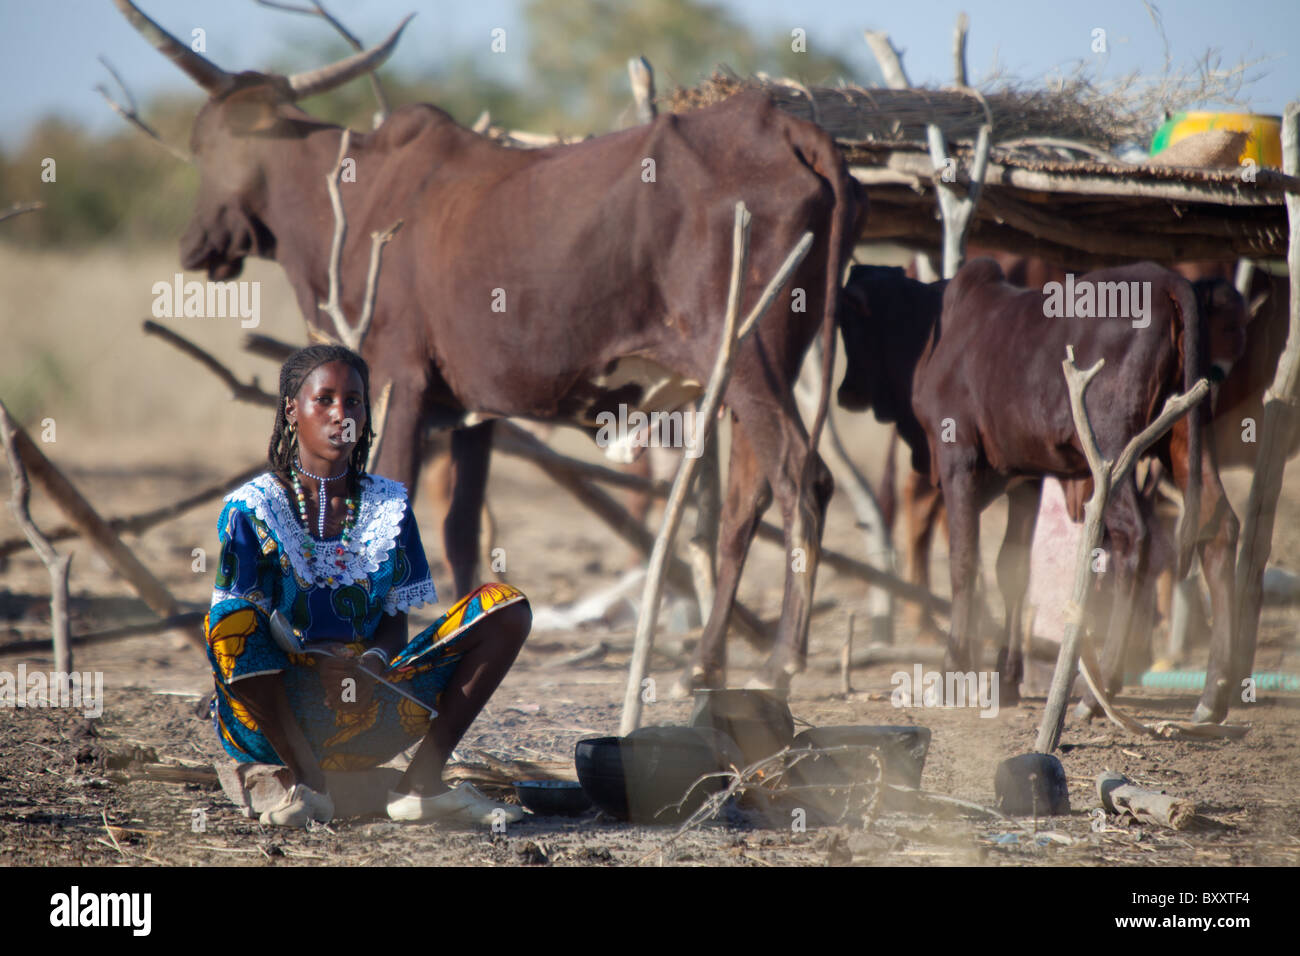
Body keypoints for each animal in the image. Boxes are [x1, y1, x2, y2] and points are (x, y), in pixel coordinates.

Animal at [116, 0, 868, 686]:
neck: (353, 190)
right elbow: (459, 533)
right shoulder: (471, 409)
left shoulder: (398, 382)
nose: (194, 244)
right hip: (755, 368)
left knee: (803, 477)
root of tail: (785, 128)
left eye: (203, 148)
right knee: (747, 499)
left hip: (748, 362)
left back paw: (782, 660)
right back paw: (708, 662)